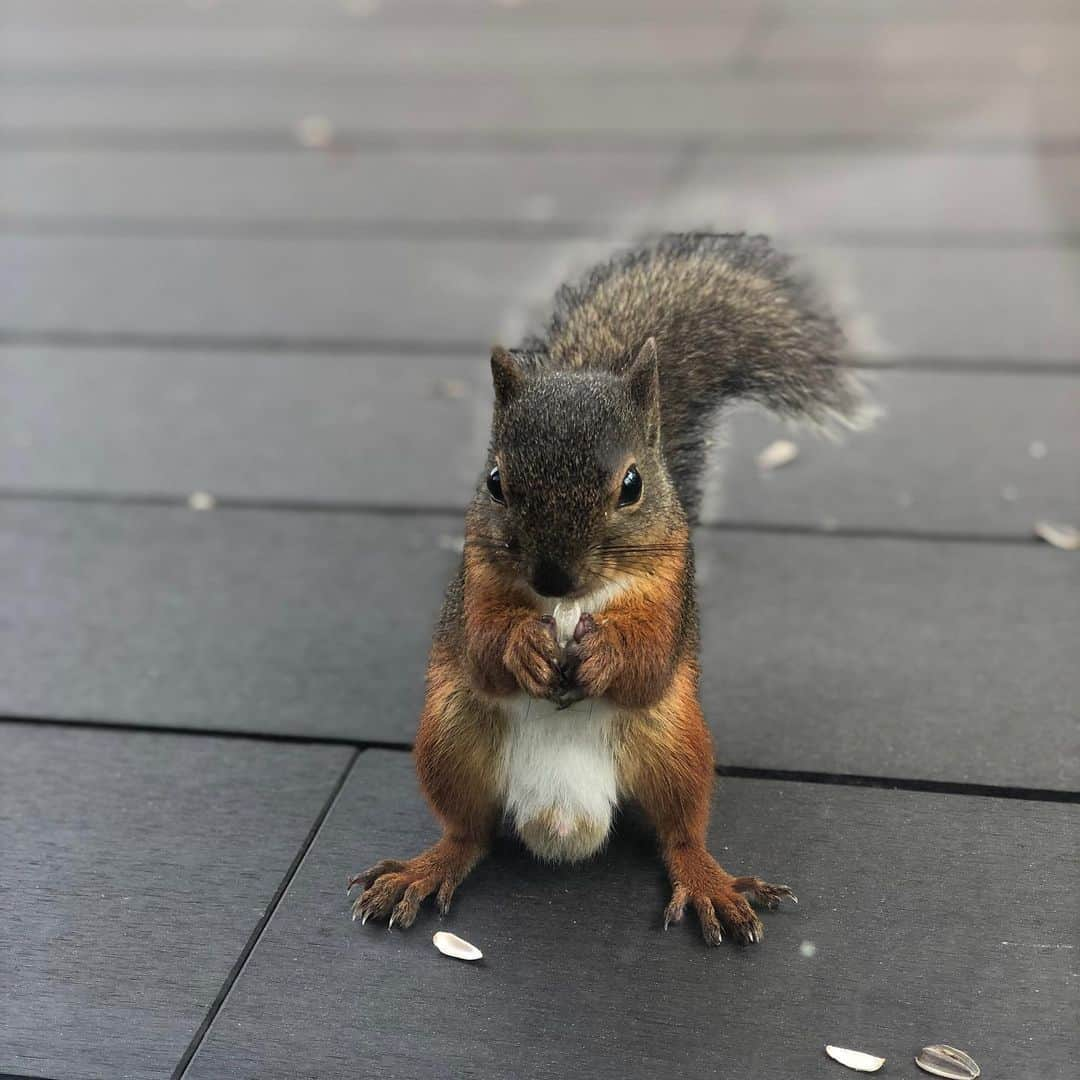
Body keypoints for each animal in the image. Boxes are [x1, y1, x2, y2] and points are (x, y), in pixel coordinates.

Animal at [349, 234, 864, 946]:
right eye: (494, 481)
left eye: (632, 484)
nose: (552, 577)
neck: (568, 606)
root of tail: (563, 821)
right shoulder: (473, 581)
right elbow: (481, 646)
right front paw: (522, 647)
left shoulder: (672, 589)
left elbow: (647, 663)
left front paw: (607, 654)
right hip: (451, 737)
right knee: (469, 833)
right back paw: (426, 869)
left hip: (676, 750)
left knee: (679, 835)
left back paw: (709, 882)